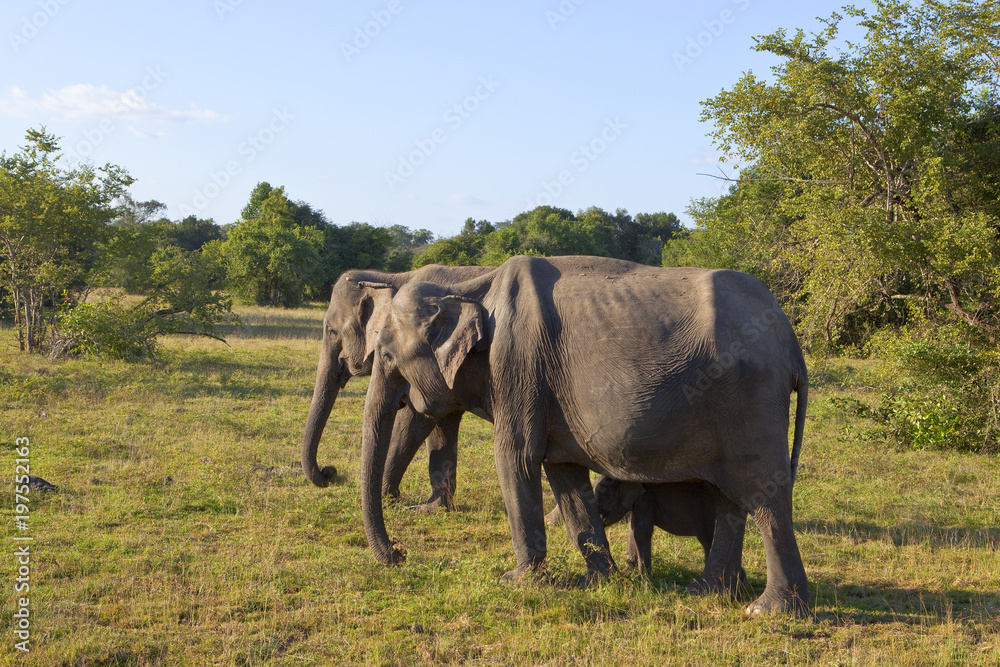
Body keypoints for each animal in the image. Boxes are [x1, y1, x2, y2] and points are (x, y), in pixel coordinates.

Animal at [300, 263, 494, 510]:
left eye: (332, 331)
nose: (329, 473)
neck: (391, 277)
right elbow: (441, 421)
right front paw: (433, 507)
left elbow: (413, 420)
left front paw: (388, 499)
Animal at [593, 475, 747, 590]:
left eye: (602, 509)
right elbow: (632, 530)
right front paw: (627, 573)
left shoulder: (645, 499)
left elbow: (640, 531)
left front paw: (641, 579)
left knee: (710, 540)